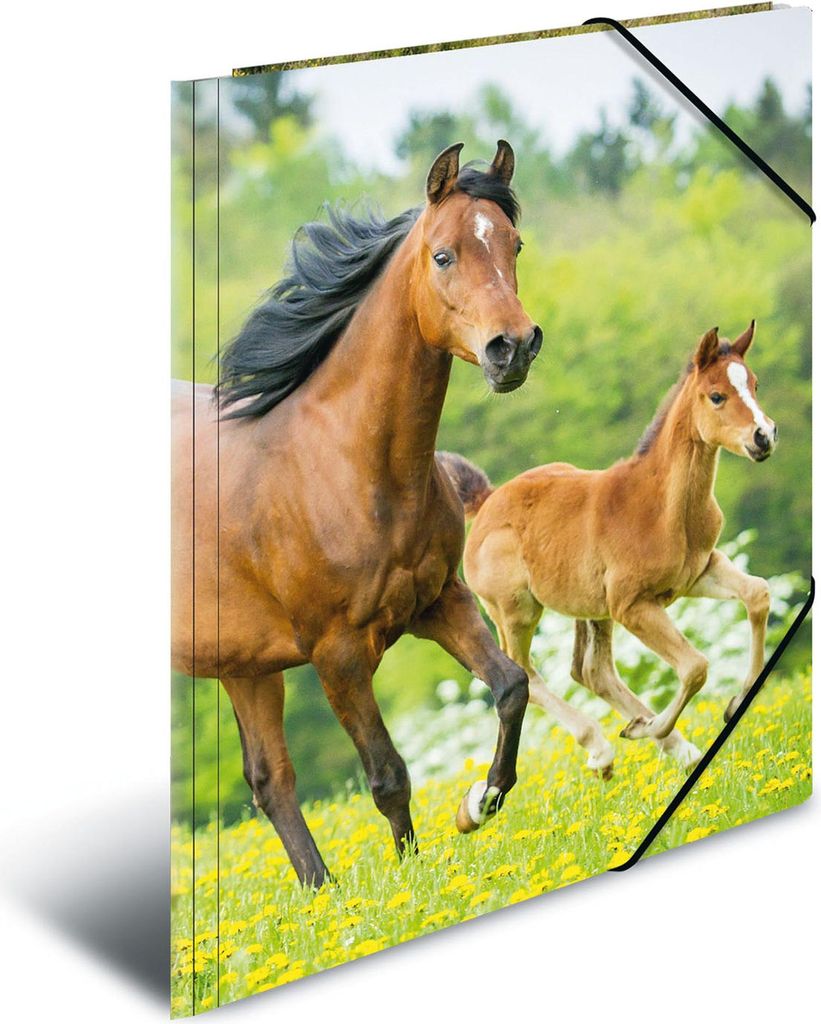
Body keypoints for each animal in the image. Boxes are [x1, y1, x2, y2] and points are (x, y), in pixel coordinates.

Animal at [171, 141, 544, 887]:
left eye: (513, 243)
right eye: (443, 255)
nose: (512, 347)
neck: (344, 466)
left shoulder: (439, 602)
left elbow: (511, 686)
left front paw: (478, 803)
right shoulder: (337, 653)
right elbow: (387, 774)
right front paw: (411, 879)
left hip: (243, 666)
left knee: (270, 780)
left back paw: (322, 893)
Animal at [441, 322, 776, 777]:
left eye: (754, 384)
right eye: (717, 396)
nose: (765, 436)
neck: (662, 506)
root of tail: (487, 501)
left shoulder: (701, 570)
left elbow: (758, 595)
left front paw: (734, 702)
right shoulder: (631, 605)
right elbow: (695, 666)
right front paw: (651, 727)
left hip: (590, 607)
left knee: (591, 671)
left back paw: (674, 746)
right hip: (515, 611)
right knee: (525, 672)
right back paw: (603, 747)